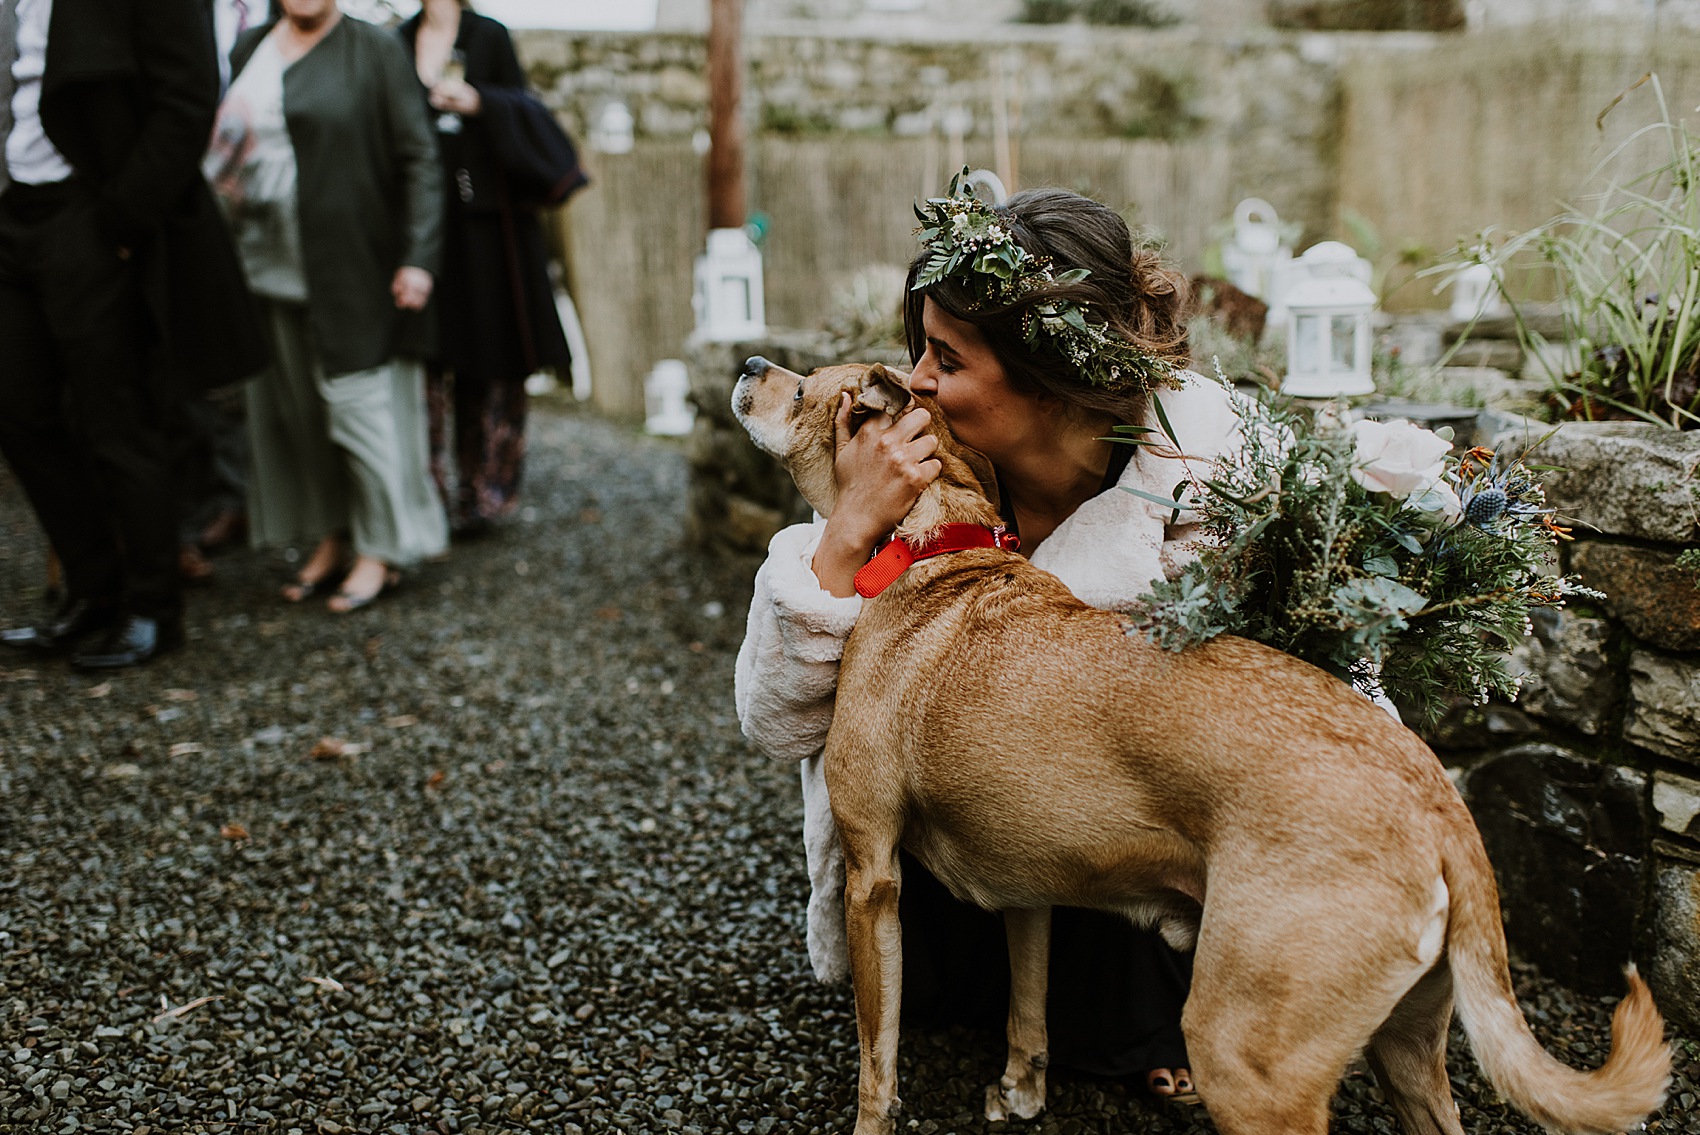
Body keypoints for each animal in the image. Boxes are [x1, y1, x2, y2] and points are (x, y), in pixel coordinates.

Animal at [734, 358, 1672, 1135]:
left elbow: (878, 1056)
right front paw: (1024, 1090)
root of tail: (1440, 804)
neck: (936, 548)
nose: (749, 361)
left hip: (1247, 1059)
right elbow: (1028, 1006)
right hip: (1407, 1051)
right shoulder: (1029, 890)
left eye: (803, 386)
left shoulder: (872, 878)